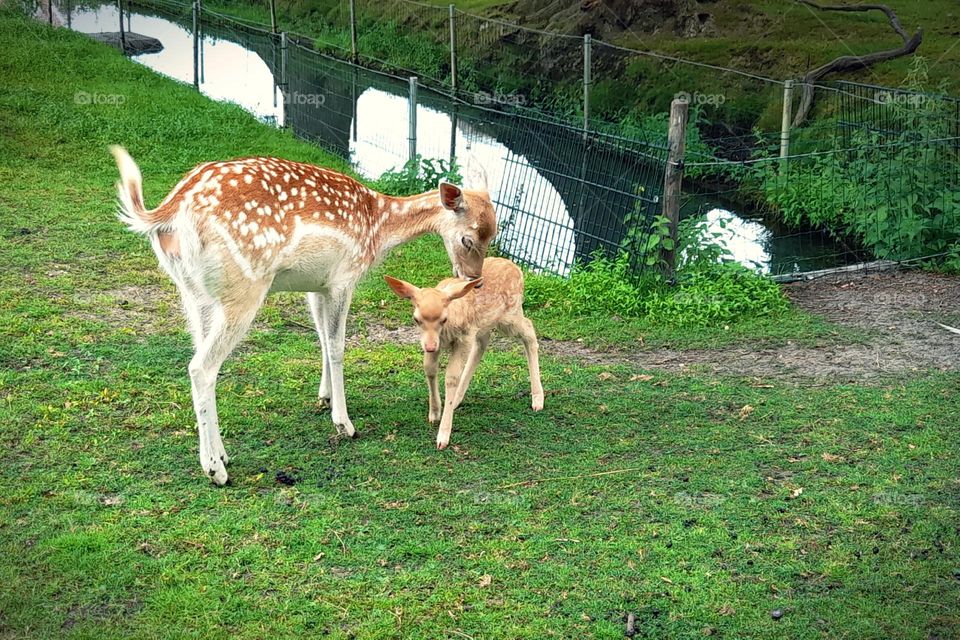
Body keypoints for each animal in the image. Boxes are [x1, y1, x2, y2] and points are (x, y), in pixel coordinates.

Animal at [110, 147, 496, 484]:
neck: (378, 228)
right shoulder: (344, 277)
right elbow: (338, 345)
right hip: (244, 288)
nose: (474, 281)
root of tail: (168, 211)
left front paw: (324, 397)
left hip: (192, 293)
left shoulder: (315, 284)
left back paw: (221, 455)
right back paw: (216, 471)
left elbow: (322, 338)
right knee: (201, 367)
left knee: (201, 358)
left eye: (493, 233)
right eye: (469, 239)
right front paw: (344, 423)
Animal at [384, 257, 544, 450]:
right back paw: (457, 399)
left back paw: (538, 400)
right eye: (416, 319)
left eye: (443, 319)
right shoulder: (439, 341)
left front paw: (443, 437)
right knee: (483, 342)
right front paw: (434, 413)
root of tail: (517, 268)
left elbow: (451, 377)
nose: (429, 347)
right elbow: (429, 368)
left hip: (509, 315)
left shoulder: (463, 337)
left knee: (528, 328)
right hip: (484, 323)